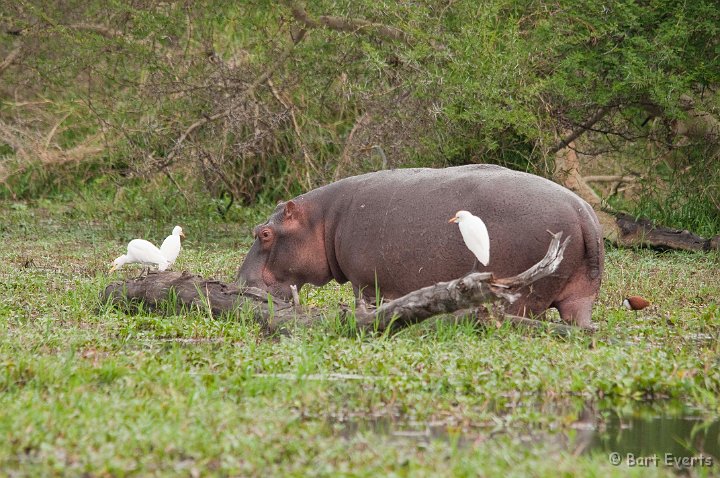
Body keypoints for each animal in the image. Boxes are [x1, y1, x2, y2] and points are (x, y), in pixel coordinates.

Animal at [236, 165, 600, 328]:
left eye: (264, 233)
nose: (238, 283)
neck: (322, 219)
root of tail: (584, 212)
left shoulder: (366, 283)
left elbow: (365, 305)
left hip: (521, 294)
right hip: (581, 295)